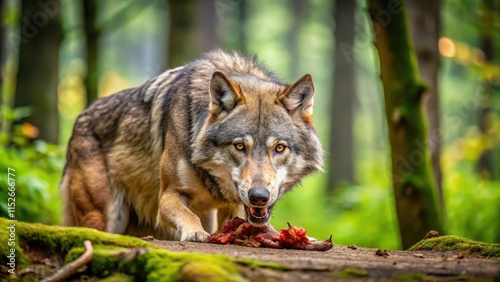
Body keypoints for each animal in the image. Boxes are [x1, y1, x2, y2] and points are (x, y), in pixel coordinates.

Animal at [61, 49, 324, 241]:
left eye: (279, 148)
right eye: (239, 146)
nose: (258, 196)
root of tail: (79, 120)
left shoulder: (236, 207)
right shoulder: (167, 196)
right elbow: (187, 216)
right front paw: (196, 233)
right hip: (106, 217)